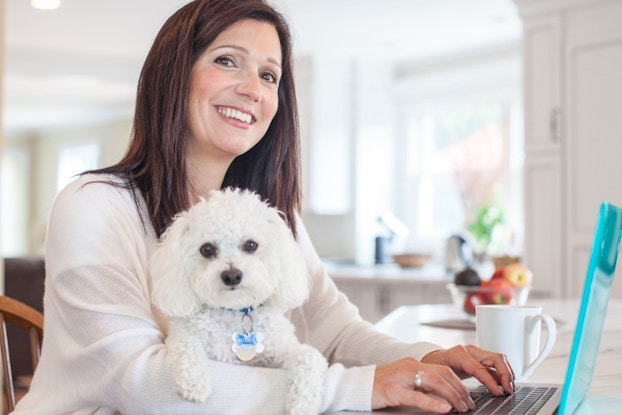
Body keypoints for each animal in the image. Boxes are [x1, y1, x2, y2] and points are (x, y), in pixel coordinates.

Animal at [151, 189, 330, 415]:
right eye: (207, 249)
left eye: (251, 245)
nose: (232, 276)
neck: (235, 312)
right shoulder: (184, 335)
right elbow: (186, 345)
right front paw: (194, 382)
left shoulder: (283, 350)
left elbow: (309, 356)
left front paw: (301, 405)